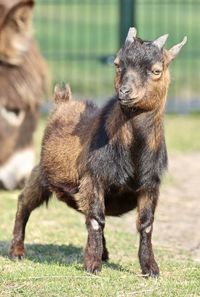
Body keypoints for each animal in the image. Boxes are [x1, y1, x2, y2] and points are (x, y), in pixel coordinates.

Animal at [9, 27, 188, 276]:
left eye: (156, 70)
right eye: (117, 63)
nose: (125, 91)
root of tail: (62, 102)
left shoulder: (150, 184)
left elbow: (146, 224)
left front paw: (150, 268)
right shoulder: (94, 178)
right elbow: (96, 219)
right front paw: (92, 265)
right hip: (43, 173)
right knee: (24, 201)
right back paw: (17, 251)